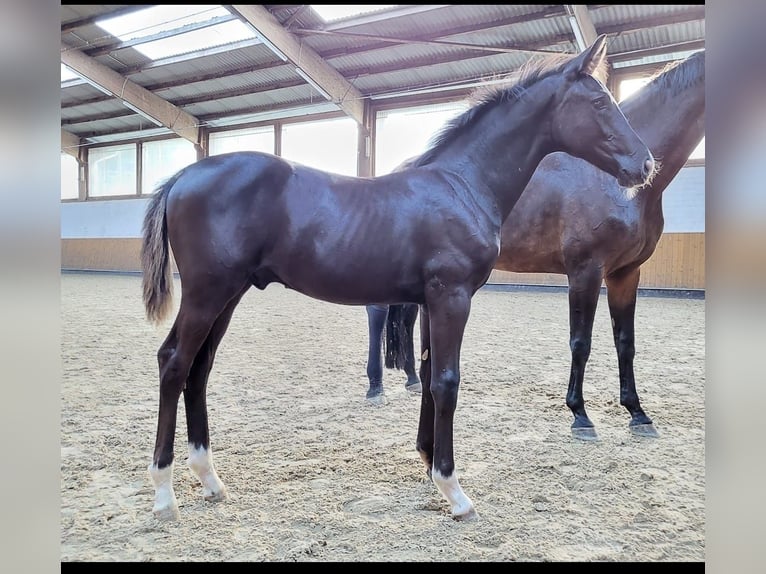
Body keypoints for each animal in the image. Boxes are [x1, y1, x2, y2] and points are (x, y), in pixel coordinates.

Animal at [140, 35, 654, 522]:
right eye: (599, 102)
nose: (646, 164)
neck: (463, 185)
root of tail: (182, 176)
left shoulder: (429, 300)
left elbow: (426, 375)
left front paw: (428, 461)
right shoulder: (452, 297)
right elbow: (447, 380)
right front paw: (453, 489)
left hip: (229, 295)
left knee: (199, 369)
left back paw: (209, 479)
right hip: (208, 293)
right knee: (173, 362)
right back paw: (164, 493)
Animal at [367, 49, 704, 441]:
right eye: (599, 102)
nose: (646, 165)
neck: (610, 184)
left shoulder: (625, 274)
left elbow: (626, 343)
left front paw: (637, 413)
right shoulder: (585, 271)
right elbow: (580, 342)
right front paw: (580, 414)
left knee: (407, 319)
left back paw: (411, 379)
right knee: (378, 312)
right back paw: (375, 386)